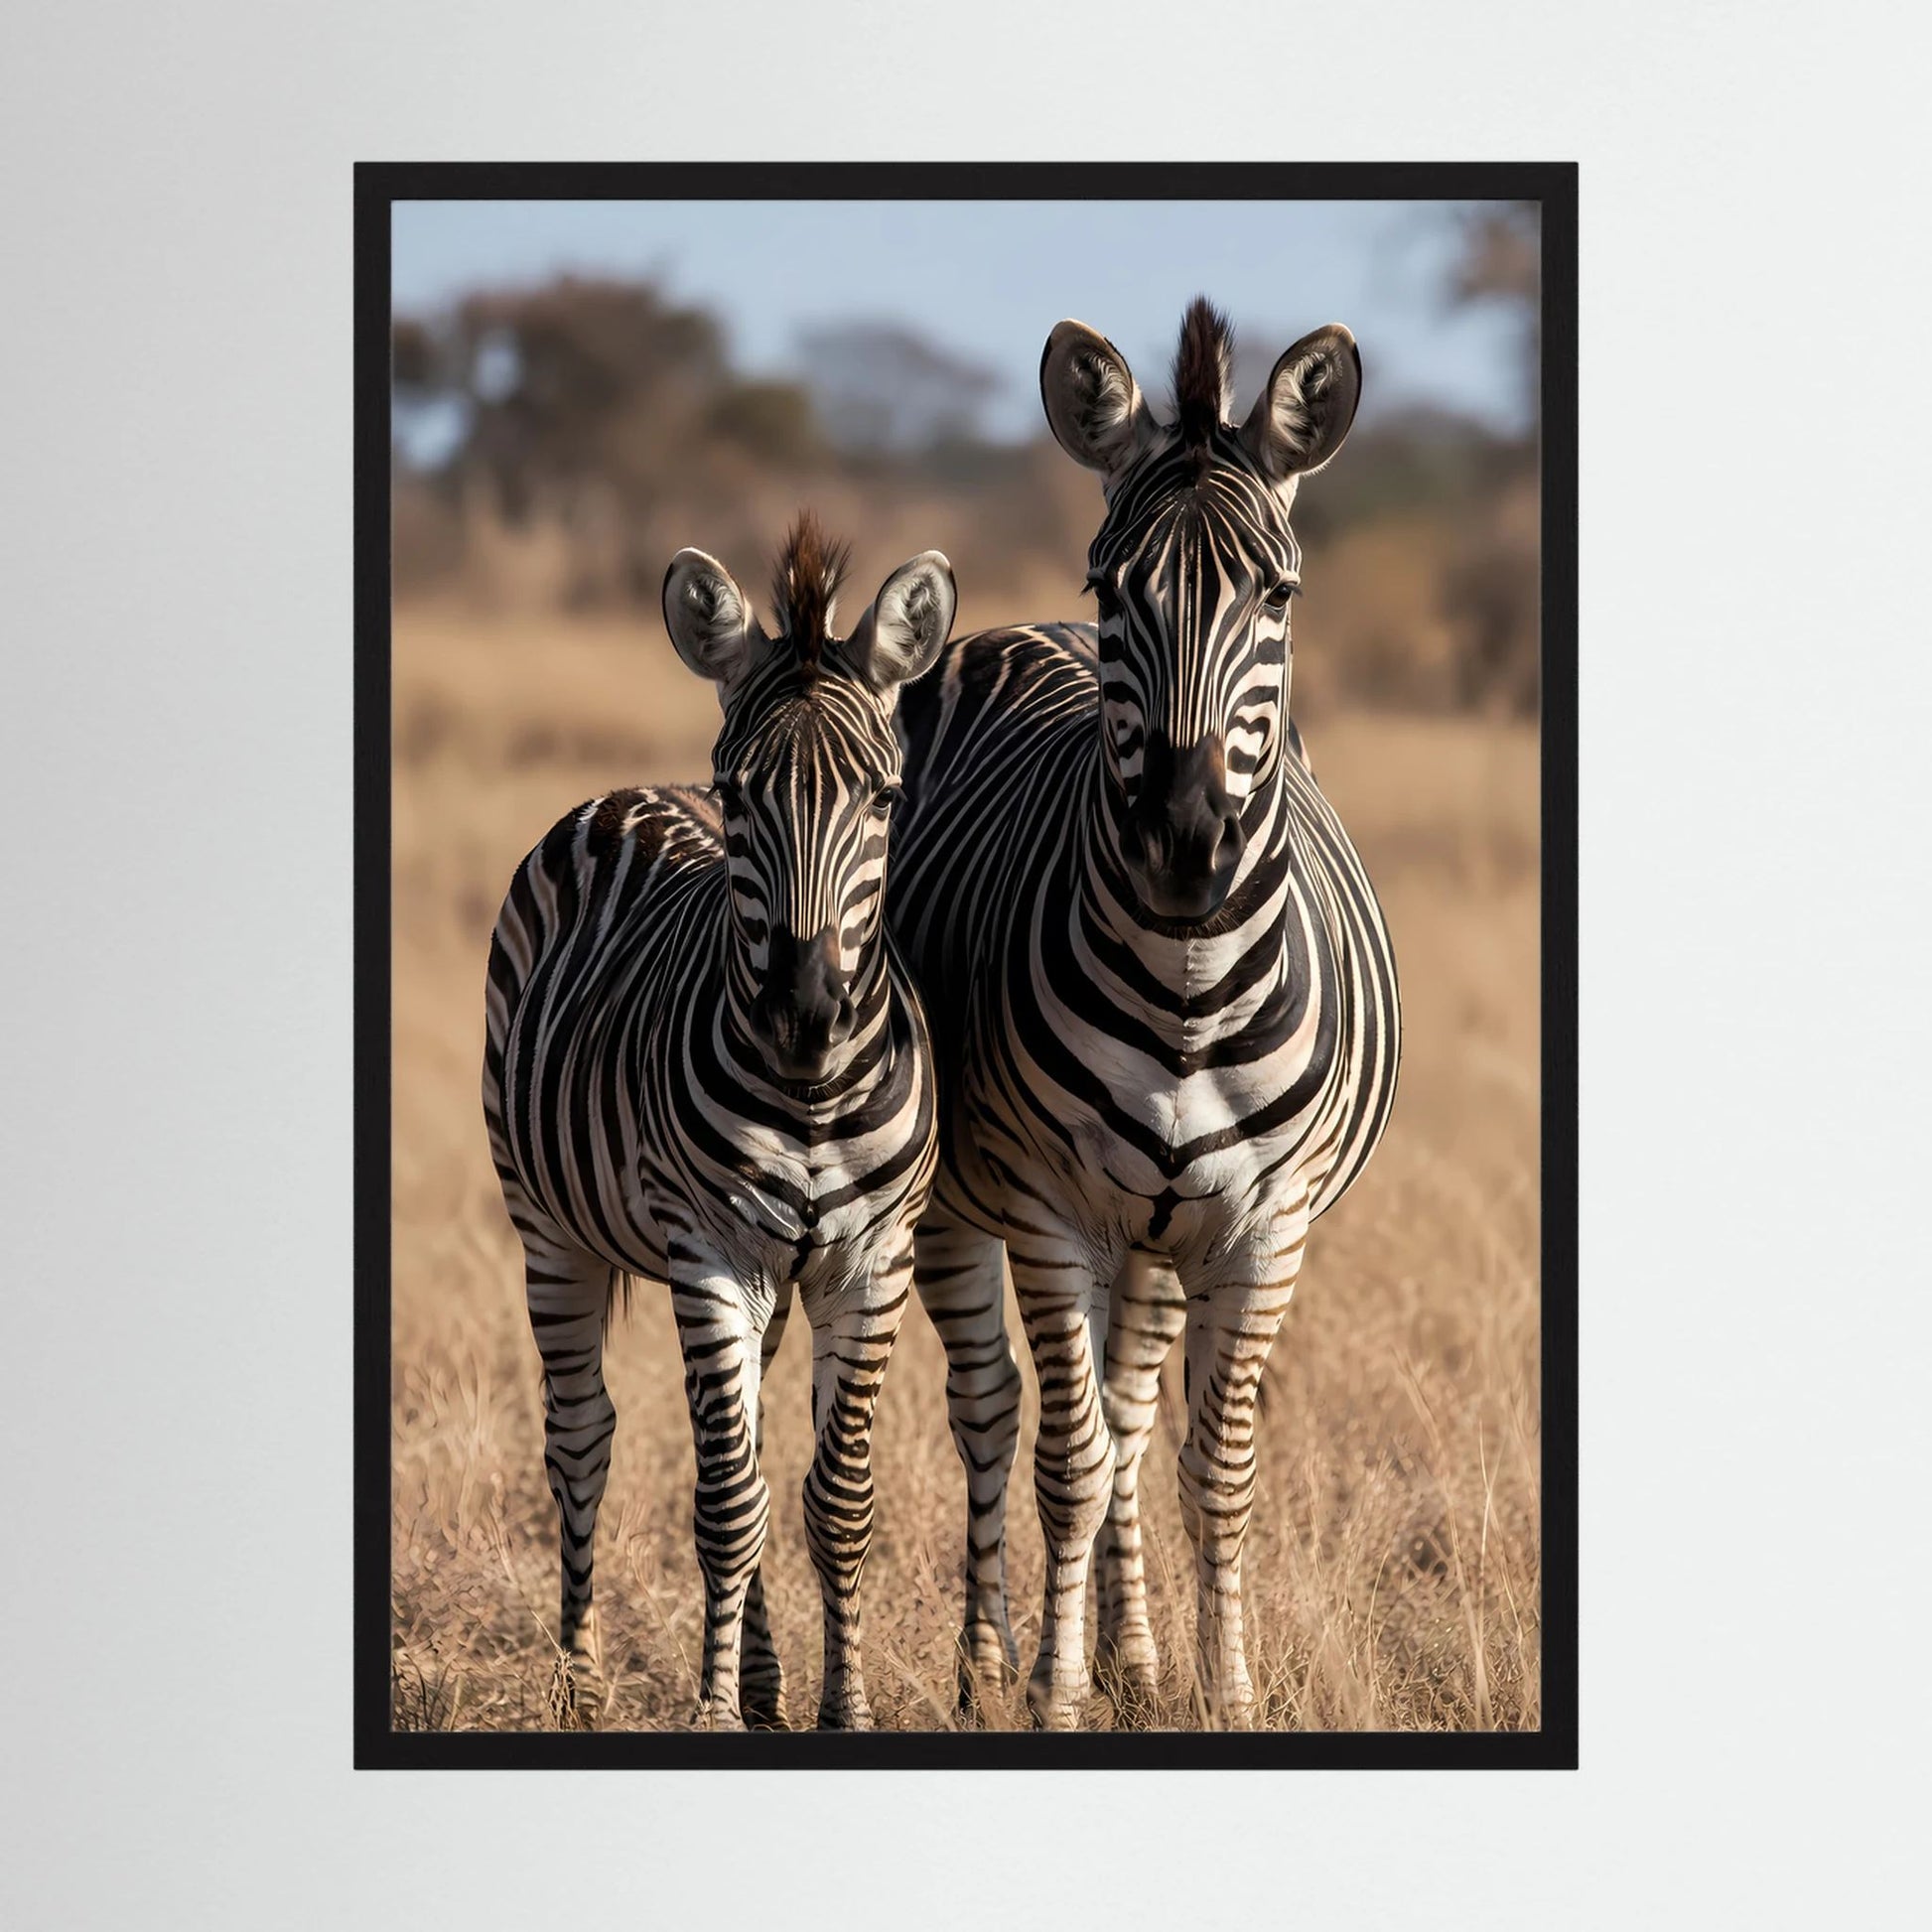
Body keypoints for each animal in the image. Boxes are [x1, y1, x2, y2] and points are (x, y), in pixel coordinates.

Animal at [482, 515, 953, 1731]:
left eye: (884, 800)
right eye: (739, 795)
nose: (804, 1007)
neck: (813, 1092)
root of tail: (624, 795)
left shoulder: (872, 1259)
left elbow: (833, 1498)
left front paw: (841, 1708)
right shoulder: (708, 1252)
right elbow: (727, 1502)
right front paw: (705, 1711)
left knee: (747, 1441)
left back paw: (765, 1680)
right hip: (545, 1225)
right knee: (582, 1438)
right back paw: (580, 1681)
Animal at [890, 300, 1401, 1729]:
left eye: (1277, 594)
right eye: (1110, 586)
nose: (1182, 842)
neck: (1186, 984)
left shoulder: (1263, 1229)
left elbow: (1205, 1467)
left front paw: (1221, 1693)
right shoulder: (1048, 1208)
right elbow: (1063, 1458)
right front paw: (1051, 1696)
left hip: (1163, 1236)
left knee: (1126, 1414)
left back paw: (1138, 1656)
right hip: (967, 1203)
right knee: (996, 1412)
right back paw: (990, 1664)